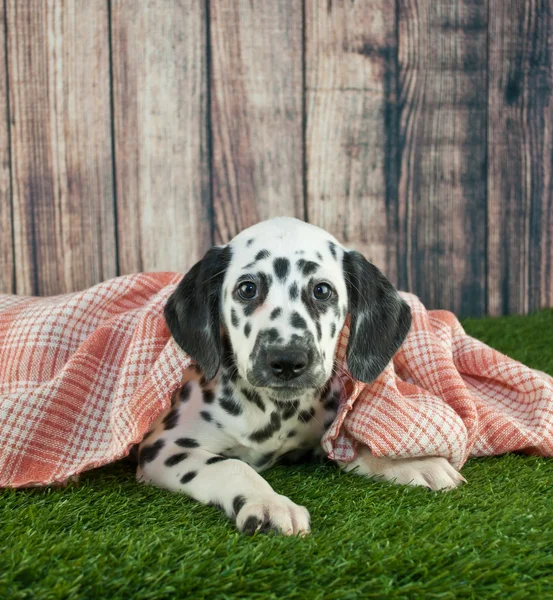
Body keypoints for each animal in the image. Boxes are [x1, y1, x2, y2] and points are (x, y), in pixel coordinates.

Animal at [136, 218, 464, 536]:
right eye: (247, 289)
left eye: (322, 290)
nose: (286, 360)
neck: (275, 412)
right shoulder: (165, 448)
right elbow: (229, 466)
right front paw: (268, 503)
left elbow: (353, 445)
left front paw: (412, 462)